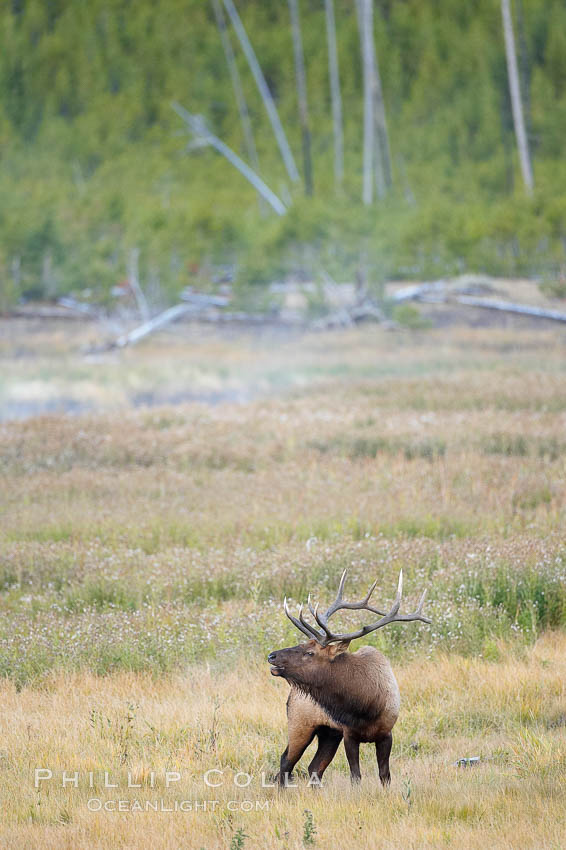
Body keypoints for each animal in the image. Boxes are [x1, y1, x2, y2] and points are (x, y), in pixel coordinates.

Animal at [270, 568, 430, 784]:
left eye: (310, 652)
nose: (272, 656)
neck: (366, 705)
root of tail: (290, 696)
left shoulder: (386, 733)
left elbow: (384, 775)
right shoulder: (349, 734)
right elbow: (356, 776)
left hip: (329, 733)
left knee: (314, 767)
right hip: (299, 723)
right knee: (286, 762)